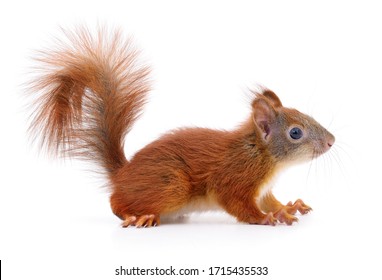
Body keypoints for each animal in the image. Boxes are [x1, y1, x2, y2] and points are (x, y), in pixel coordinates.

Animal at [27, 25, 334, 228]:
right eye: (296, 132)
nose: (331, 141)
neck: (260, 153)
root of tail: (122, 175)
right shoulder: (235, 177)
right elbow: (240, 206)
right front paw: (269, 218)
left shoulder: (263, 189)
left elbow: (270, 200)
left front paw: (288, 207)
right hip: (171, 184)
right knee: (115, 202)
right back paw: (138, 215)